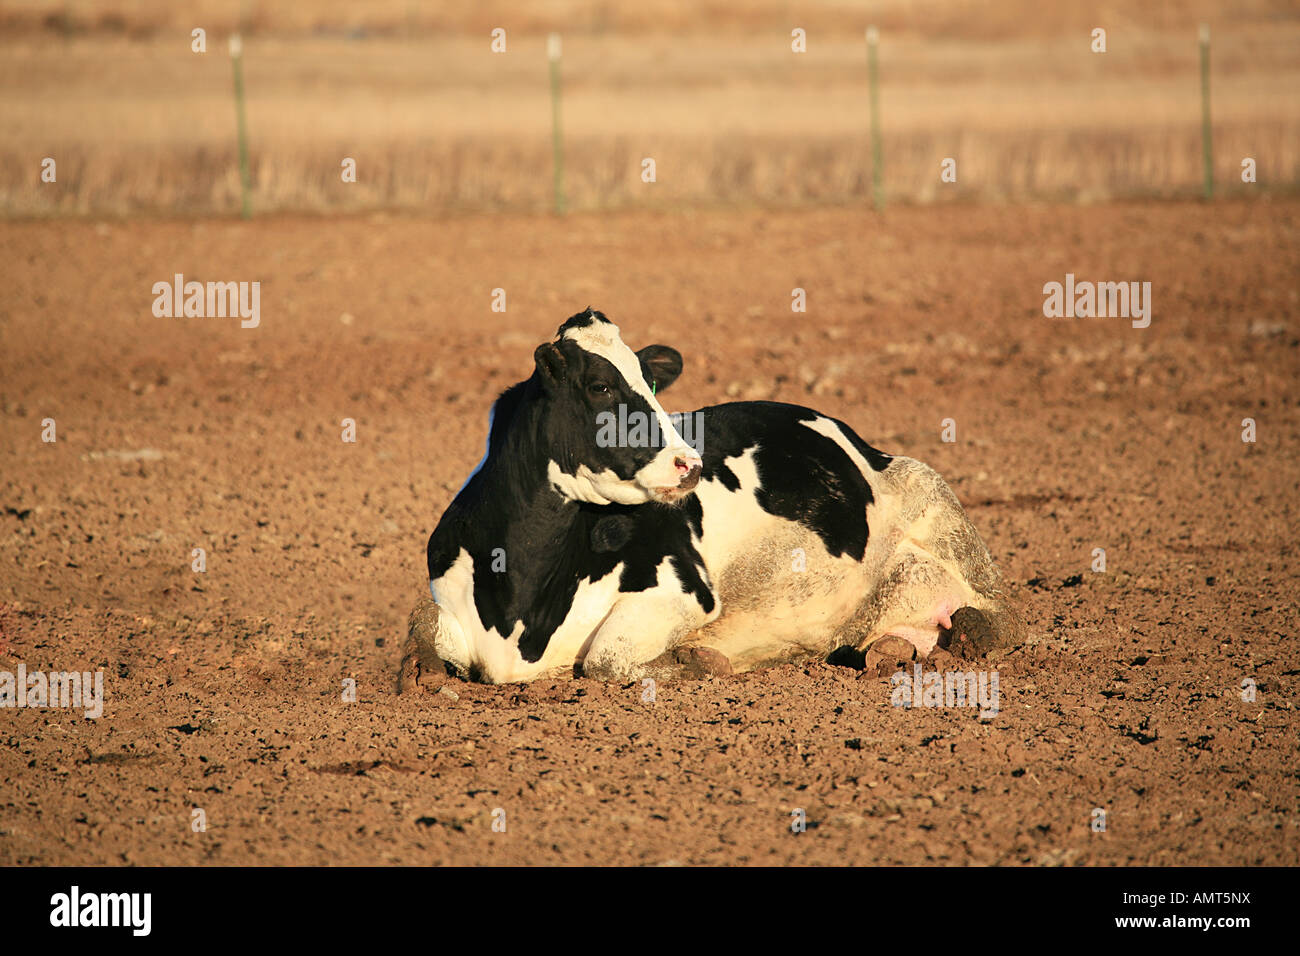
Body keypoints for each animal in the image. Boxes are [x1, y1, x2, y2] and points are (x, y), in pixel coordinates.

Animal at [400, 309, 1018, 688]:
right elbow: (426, 638)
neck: (521, 606)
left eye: (651, 385)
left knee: (999, 612)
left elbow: (605, 661)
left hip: (932, 492)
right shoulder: (444, 600)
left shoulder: (681, 592)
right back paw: (886, 649)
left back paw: (975, 630)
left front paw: (696, 661)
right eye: (601, 386)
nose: (690, 463)